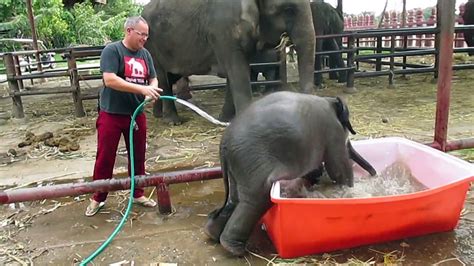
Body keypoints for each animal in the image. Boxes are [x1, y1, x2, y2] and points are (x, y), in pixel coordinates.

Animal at [143, 0, 316, 123]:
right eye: (289, 10)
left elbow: (235, 73)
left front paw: (225, 119)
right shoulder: (222, 30)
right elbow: (238, 71)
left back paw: (158, 115)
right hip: (150, 44)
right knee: (161, 76)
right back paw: (172, 121)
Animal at [206, 91, 376, 256]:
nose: (374, 174)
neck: (329, 99)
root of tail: (224, 142)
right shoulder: (333, 132)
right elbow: (338, 168)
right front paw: (348, 192)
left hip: (238, 165)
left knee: (235, 199)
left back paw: (213, 235)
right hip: (251, 160)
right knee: (256, 199)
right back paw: (235, 250)